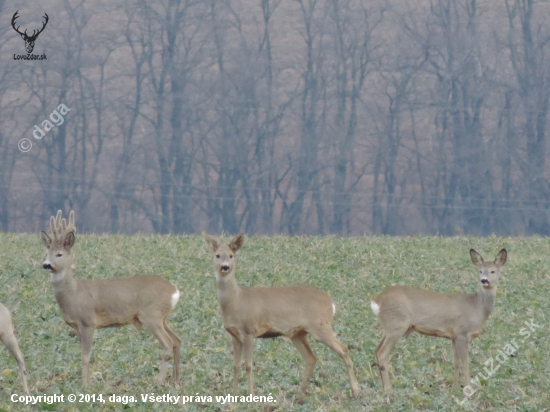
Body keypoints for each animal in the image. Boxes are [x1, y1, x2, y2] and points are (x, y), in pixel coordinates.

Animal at [42, 211, 183, 388]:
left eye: (59, 254)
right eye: (46, 253)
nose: (46, 265)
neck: (73, 294)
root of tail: (174, 291)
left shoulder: (88, 322)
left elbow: (85, 356)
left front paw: (85, 385)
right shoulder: (77, 327)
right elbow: (84, 355)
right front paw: (88, 382)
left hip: (152, 315)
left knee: (168, 343)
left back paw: (158, 382)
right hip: (162, 317)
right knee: (177, 340)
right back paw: (175, 381)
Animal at [203, 233, 362, 398]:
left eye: (231, 255)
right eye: (217, 255)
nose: (225, 266)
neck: (236, 300)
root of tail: (331, 304)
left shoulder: (249, 330)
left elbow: (248, 365)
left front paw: (251, 395)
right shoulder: (234, 335)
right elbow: (235, 365)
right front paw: (233, 395)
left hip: (320, 326)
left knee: (343, 349)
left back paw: (355, 391)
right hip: (298, 333)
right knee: (311, 358)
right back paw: (301, 392)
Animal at [370, 248, 508, 392]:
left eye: (493, 271)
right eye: (480, 271)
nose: (484, 280)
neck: (477, 308)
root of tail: (376, 301)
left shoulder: (454, 336)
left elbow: (456, 363)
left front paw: (454, 390)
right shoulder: (462, 333)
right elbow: (465, 363)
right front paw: (468, 390)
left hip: (389, 328)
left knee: (376, 350)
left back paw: (384, 388)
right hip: (397, 324)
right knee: (382, 354)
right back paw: (389, 391)